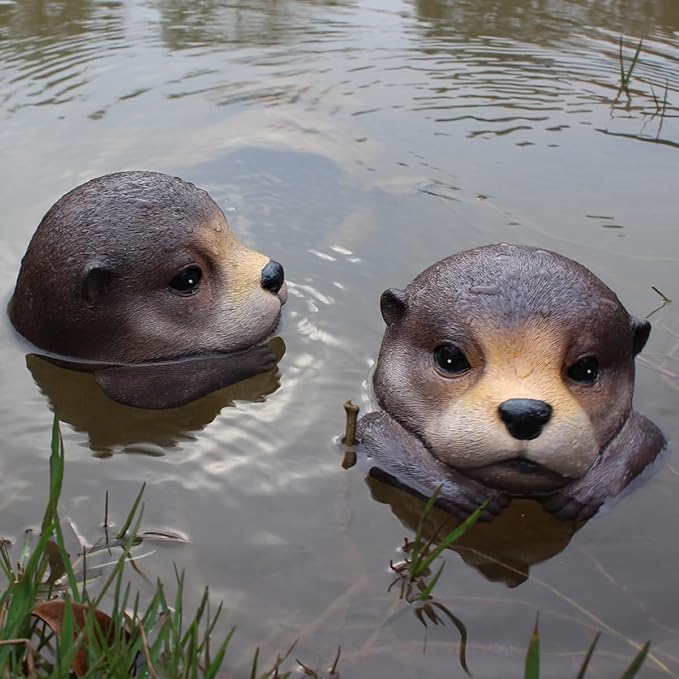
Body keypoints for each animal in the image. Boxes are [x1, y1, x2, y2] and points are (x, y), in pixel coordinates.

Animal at [357, 244, 666, 521]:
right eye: (450, 357)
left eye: (586, 369)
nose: (526, 413)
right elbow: (371, 429)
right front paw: (466, 494)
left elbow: (648, 434)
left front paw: (586, 491)